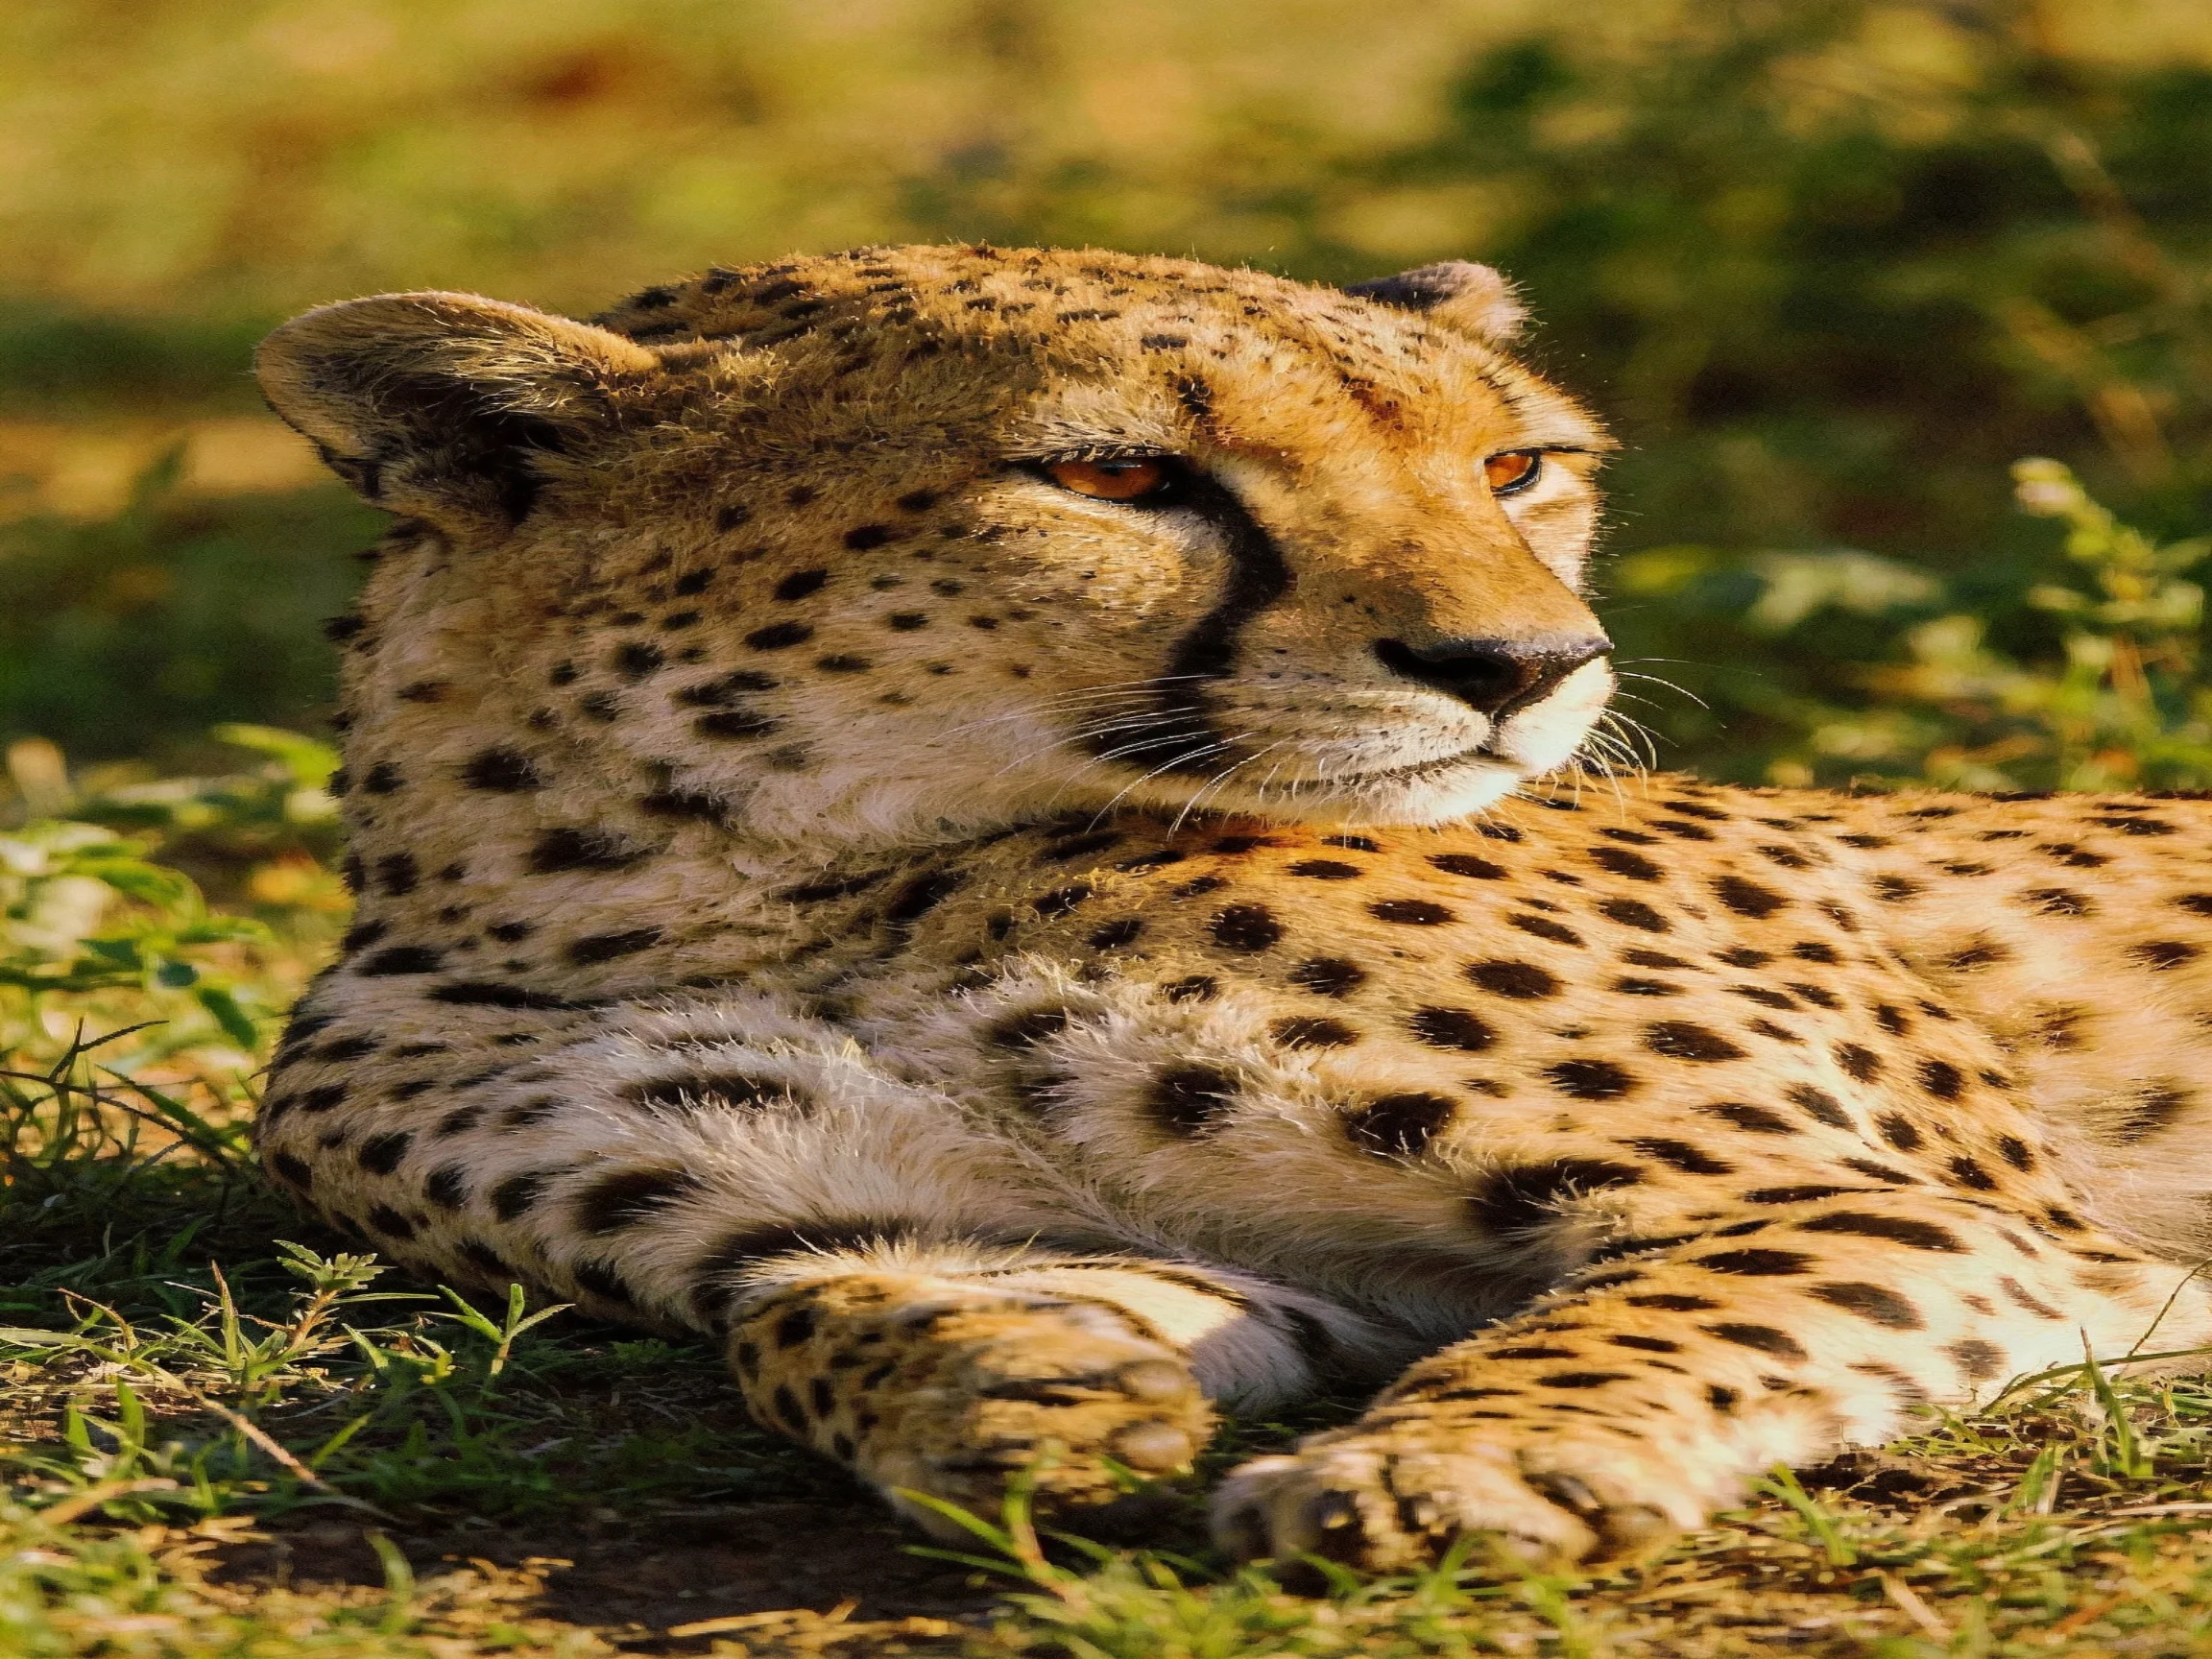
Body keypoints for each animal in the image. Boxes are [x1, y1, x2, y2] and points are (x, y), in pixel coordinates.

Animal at [250, 242, 2212, 1573]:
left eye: (1514, 467)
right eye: (1117, 474)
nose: (1529, 666)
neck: (736, 882)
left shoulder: (1899, 1213)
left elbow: (1646, 1317)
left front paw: (1442, 1473)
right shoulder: (1210, 1262)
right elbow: (797, 1308)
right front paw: (995, 1381)